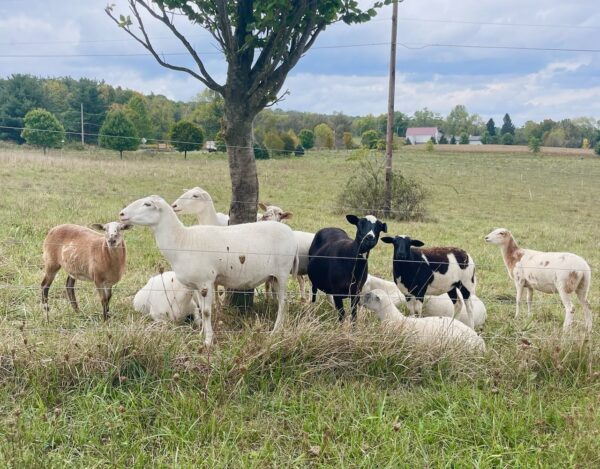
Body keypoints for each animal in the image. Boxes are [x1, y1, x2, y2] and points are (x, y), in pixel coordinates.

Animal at [119, 194, 298, 344]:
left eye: (147, 204)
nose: (121, 214)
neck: (181, 240)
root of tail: (289, 232)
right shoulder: (197, 285)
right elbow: (201, 310)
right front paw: (201, 334)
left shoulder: (205, 282)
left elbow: (206, 312)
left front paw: (208, 341)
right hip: (273, 277)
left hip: (282, 273)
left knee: (283, 302)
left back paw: (276, 331)